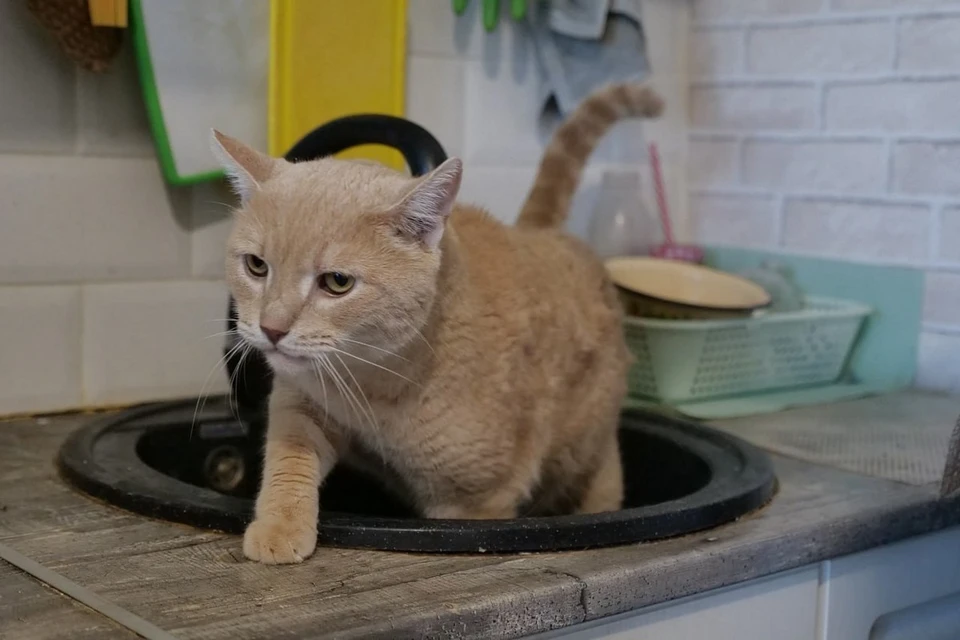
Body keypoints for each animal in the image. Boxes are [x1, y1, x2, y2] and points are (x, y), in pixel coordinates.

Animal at [212, 81, 664, 564]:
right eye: (257, 266)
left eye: (337, 283)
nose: (272, 329)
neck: (376, 383)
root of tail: (537, 233)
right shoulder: (300, 402)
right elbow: (288, 461)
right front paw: (279, 526)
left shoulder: (472, 504)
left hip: (595, 465)